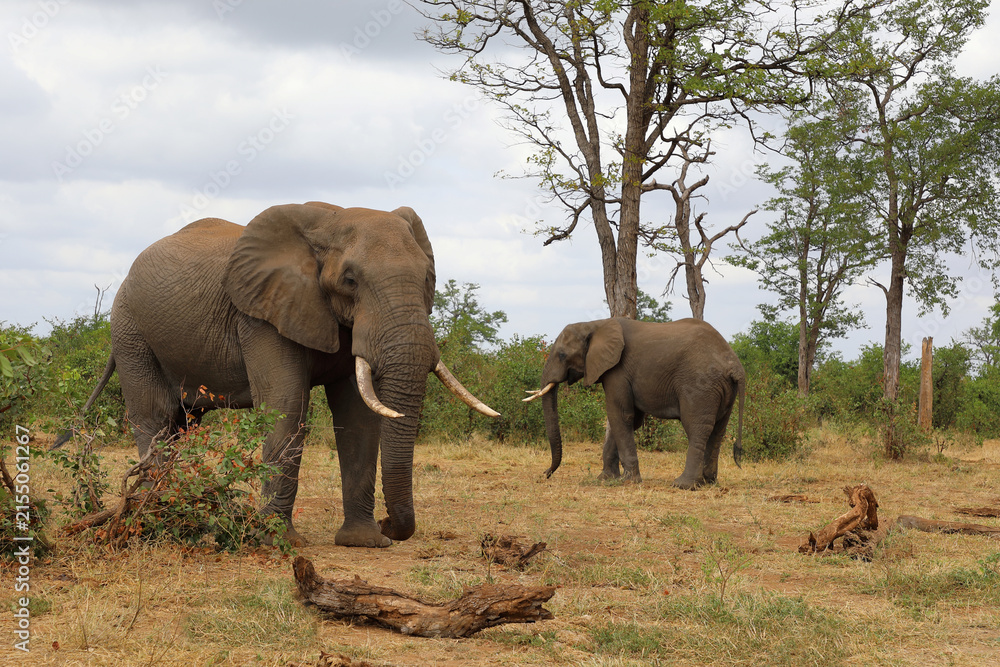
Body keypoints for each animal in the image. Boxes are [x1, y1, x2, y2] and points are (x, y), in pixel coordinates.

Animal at [60, 202, 498, 547]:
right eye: (350, 280)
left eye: (428, 278)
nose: (390, 523)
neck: (331, 219)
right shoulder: (261, 315)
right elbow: (286, 406)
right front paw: (277, 541)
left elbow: (358, 417)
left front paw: (364, 542)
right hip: (130, 330)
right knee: (153, 417)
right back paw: (155, 517)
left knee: (184, 422)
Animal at [525, 317, 744, 488]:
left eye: (562, 355)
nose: (545, 474)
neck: (595, 324)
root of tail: (735, 365)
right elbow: (625, 420)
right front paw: (605, 479)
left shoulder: (617, 371)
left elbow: (620, 415)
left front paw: (628, 481)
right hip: (722, 390)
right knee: (718, 431)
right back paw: (708, 482)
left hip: (700, 386)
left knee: (696, 429)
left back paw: (683, 485)